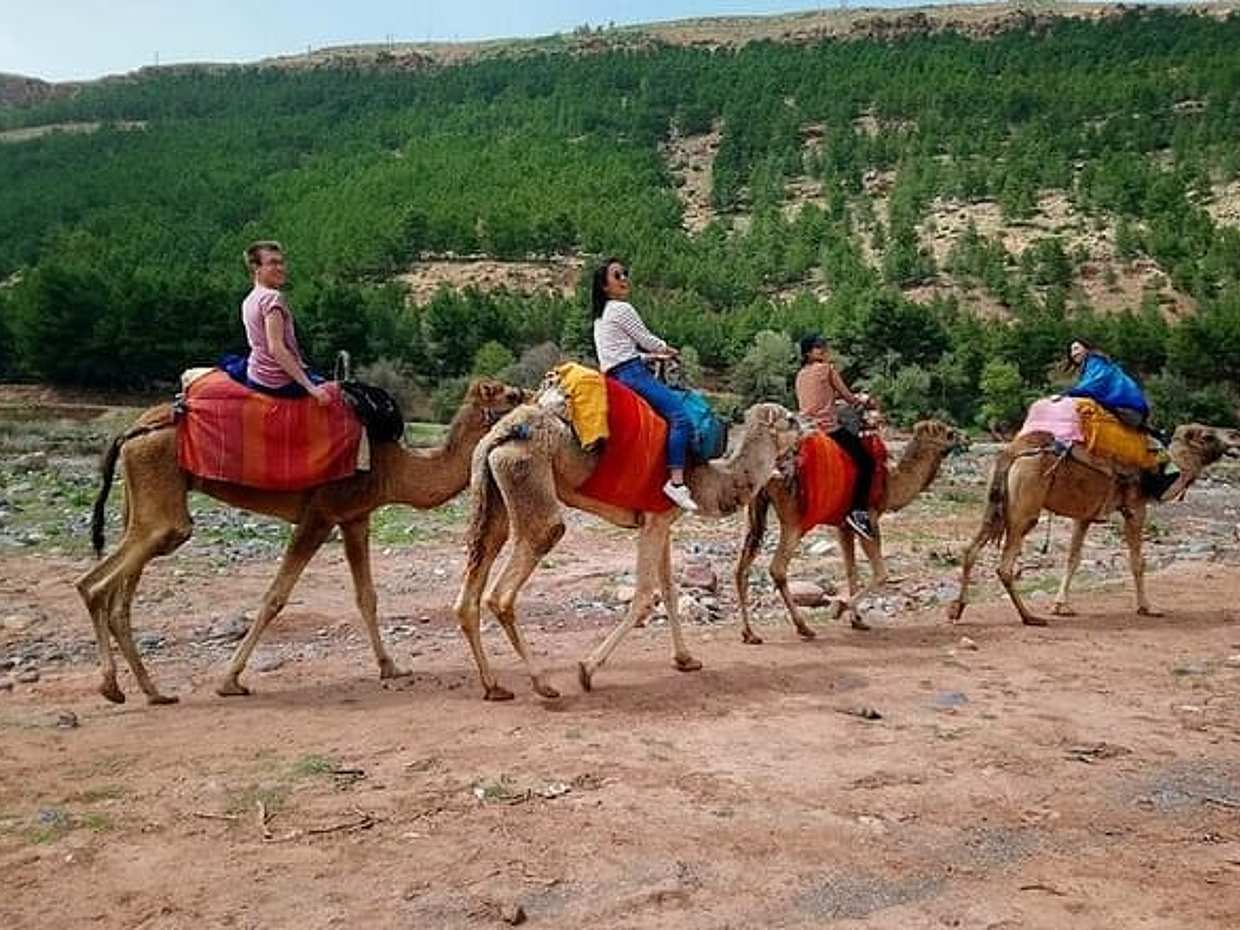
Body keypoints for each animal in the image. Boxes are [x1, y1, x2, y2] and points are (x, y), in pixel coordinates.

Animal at [75, 378, 526, 705]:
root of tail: (132, 431)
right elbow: (275, 596)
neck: (392, 468)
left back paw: (151, 692)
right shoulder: (320, 515)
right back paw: (113, 686)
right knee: (97, 583)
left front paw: (390, 667)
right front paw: (230, 681)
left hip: (143, 500)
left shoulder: (355, 517)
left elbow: (367, 596)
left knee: (120, 594)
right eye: (511, 394)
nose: (530, 400)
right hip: (164, 508)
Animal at [452, 400, 804, 700]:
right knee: (511, 579)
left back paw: (494, 686)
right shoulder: (655, 520)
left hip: (492, 495)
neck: (708, 480)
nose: (808, 427)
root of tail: (500, 435)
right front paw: (587, 670)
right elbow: (645, 595)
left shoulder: (660, 521)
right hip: (527, 474)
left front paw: (686, 659)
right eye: (790, 419)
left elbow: (669, 590)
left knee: (473, 583)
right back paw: (542, 683)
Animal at [736, 419, 965, 641]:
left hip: (756, 507)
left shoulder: (844, 525)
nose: (963, 438)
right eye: (949, 433)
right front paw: (840, 608)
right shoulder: (869, 519)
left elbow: (851, 569)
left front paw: (858, 620)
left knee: (742, 567)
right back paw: (804, 628)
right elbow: (881, 573)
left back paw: (750, 634)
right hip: (793, 519)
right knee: (777, 568)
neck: (889, 484)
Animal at [946, 423, 1240, 626]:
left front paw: (1061, 606)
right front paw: (1148, 607)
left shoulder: (1084, 515)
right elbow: (1137, 562)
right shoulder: (1135, 507)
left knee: (971, 549)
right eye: (1207, 436)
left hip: (995, 502)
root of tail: (1013, 452)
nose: (1235, 434)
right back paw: (1030, 617)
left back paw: (957, 609)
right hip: (1025, 504)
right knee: (1005, 565)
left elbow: (1073, 558)